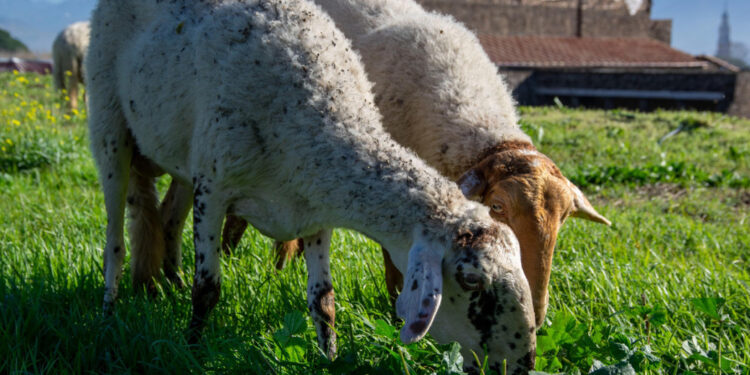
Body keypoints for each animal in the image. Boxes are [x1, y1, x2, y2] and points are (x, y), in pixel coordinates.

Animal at [86, 0, 536, 374]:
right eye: (472, 281)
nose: (524, 363)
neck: (321, 116)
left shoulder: (315, 215)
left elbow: (324, 301)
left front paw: (329, 358)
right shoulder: (212, 189)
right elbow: (208, 290)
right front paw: (192, 352)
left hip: (179, 155)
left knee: (163, 218)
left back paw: (166, 284)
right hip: (108, 123)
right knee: (114, 240)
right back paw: (108, 313)